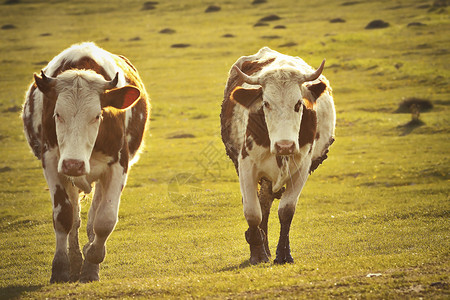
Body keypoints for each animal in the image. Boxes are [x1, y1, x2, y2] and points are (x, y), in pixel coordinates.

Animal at [22, 41, 150, 282]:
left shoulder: (118, 165)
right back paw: (74, 262)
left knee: (92, 218)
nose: (74, 164)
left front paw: (93, 258)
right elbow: (63, 217)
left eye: (97, 115)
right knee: (74, 218)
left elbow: (104, 220)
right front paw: (61, 268)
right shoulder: (52, 162)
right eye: (57, 114)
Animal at [221, 47, 334, 264]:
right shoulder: (246, 166)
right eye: (266, 103)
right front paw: (257, 254)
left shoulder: (302, 168)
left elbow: (286, 211)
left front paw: (283, 254)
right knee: (261, 205)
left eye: (298, 104)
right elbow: (252, 212)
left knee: (266, 203)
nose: (285, 146)